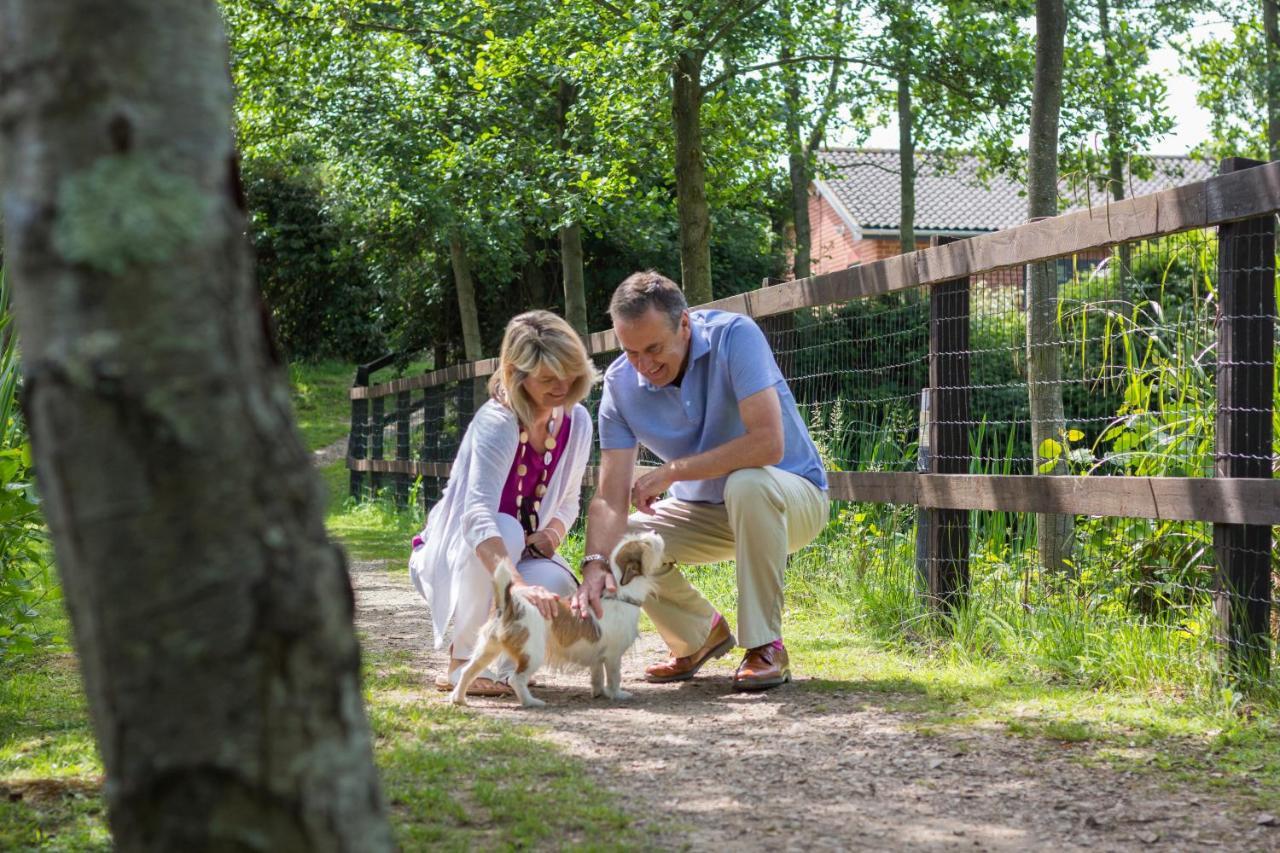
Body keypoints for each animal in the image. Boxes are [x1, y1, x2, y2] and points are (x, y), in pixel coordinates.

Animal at [450, 532, 665, 701]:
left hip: (487, 649)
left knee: (467, 671)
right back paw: (531, 702)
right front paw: (617, 694)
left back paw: (458, 699)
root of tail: (510, 604)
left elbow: (597, 677)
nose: (655, 531)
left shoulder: (598, 659)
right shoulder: (613, 656)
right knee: (515, 679)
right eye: (647, 543)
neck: (620, 594)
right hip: (531, 654)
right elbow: (614, 677)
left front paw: (599, 693)